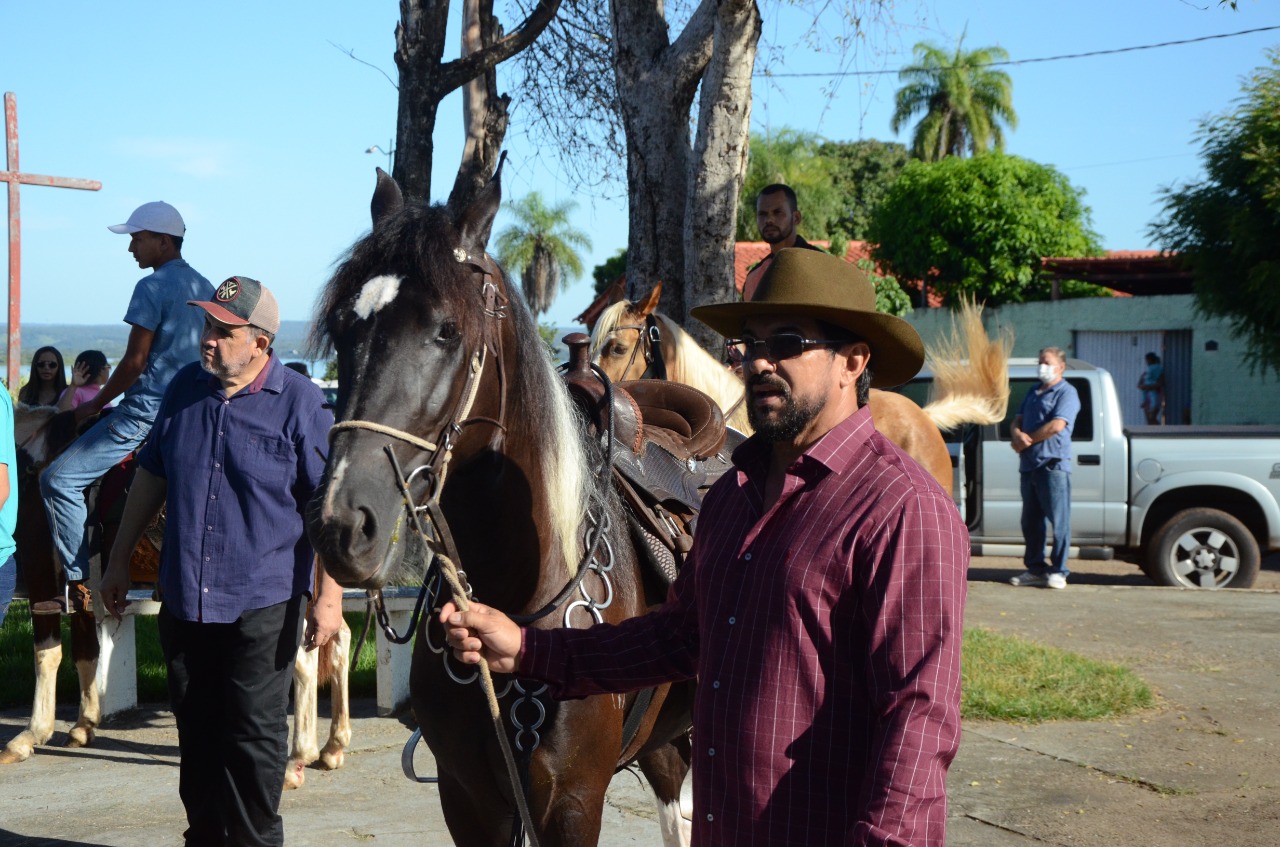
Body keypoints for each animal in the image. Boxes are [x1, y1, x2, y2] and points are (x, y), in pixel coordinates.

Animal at [6, 406, 355, 798]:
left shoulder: (40, 573)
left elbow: (47, 654)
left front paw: (31, 734)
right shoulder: (82, 589)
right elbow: (86, 653)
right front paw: (83, 725)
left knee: (304, 662)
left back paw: (298, 758)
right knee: (338, 641)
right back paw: (332, 746)